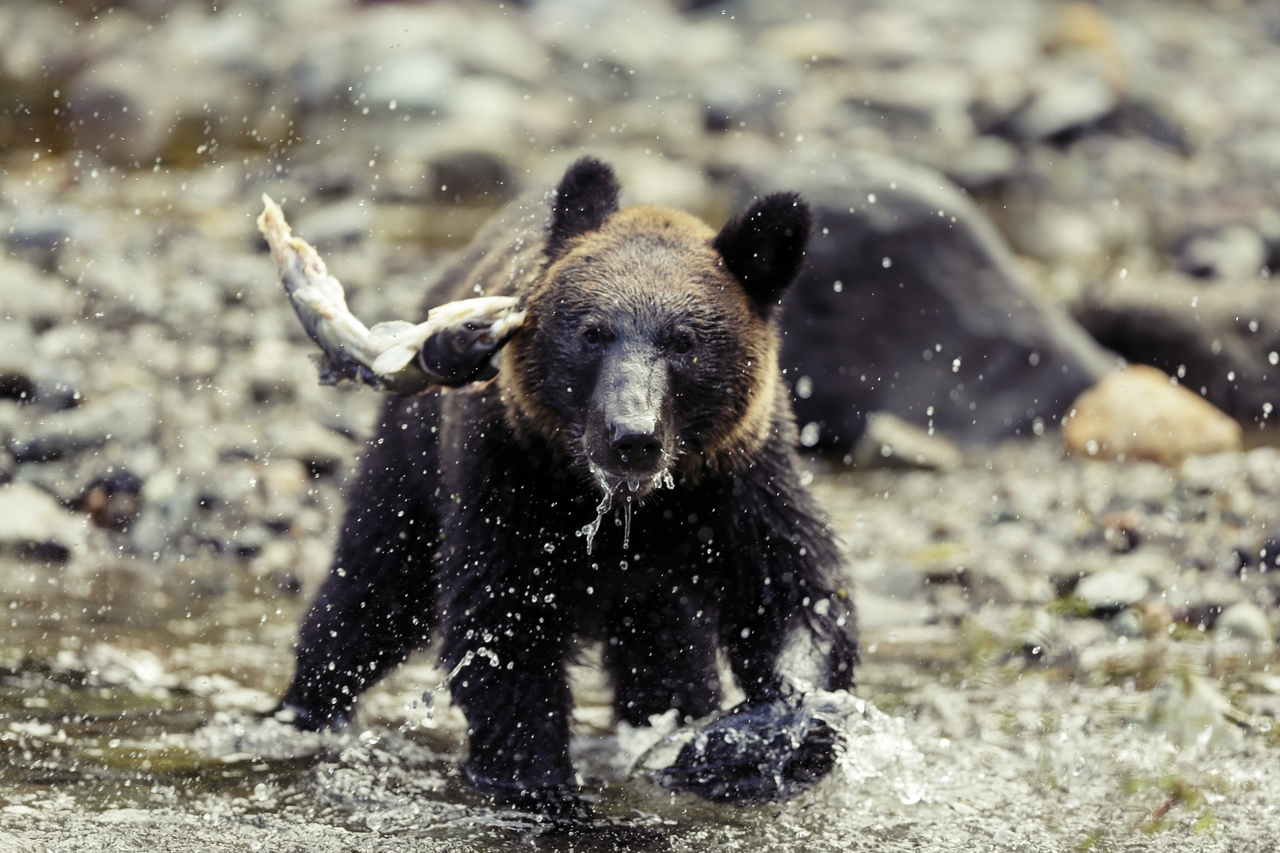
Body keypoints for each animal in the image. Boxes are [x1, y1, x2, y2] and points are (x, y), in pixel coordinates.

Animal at [280, 156, 860, 814]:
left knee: (668, 660)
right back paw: (305, 711)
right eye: (592, 332)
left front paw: (747, 745)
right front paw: (543, 788)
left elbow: (795, 592)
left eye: (684, 341)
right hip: (413, 459)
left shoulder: (739, 483)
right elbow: (502, 628)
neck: (630, 507)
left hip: (659, 592)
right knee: (371, 591)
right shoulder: (510, 480)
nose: (631, 435)